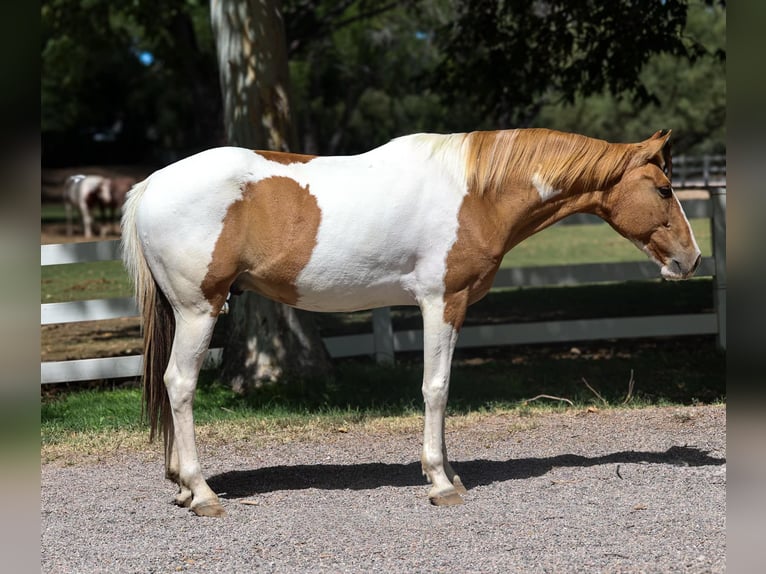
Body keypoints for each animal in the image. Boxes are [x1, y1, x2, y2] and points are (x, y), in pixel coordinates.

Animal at [121, 128, 701, 517]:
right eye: (665, 189)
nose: (691, 259)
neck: (477, 191)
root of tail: (152, 184)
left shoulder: (452, 307)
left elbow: (441, 389)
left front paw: (450, 474)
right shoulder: (441, 302)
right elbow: (435, 388)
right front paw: (441, 483)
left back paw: (181, 485)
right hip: (198, 310)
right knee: (180, 384)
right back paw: (201, 492)